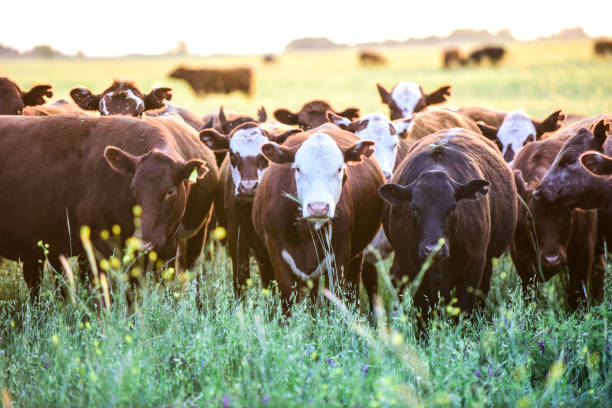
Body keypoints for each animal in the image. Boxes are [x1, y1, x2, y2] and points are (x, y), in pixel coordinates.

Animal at [252, 124, 384, 306]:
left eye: (339, 169)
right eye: (298, 168)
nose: (318, 207)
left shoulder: (340, 254)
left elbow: (334, 296)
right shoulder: (276, 250)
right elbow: (288, 296)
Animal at [378, 128, 516, 318]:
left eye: (452, 208)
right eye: (414, 208)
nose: (433, 249)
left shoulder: (475, 264)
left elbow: (463, 308)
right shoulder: (410, 264)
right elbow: (424, 307)